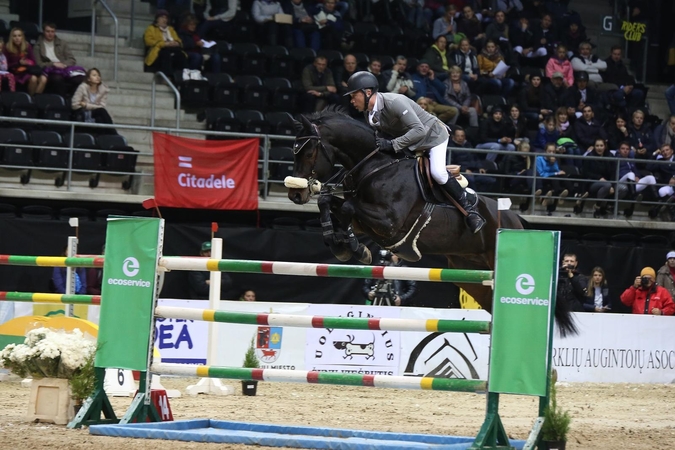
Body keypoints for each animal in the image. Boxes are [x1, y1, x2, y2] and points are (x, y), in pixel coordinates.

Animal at [286, 107, 576, 336]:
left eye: (308, 152)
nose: (295, 194)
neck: (375, 166)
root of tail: (516, 219)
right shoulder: (366, 220)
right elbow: (329, 203)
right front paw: (342, 245)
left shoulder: (389, 223)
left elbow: (346, 207)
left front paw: (354, 248)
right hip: (469, 274)